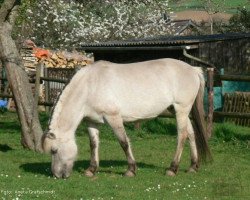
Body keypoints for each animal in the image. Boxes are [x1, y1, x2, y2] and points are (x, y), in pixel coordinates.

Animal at [42, 57, 211, 178]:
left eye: (54, 150)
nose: (57, 175)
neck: (90, 86)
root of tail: (193, 69)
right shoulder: (92, 121)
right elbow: (93, 144)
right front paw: (91, 169)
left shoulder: (113, 117)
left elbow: (123, 142)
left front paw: (130, 170)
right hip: (180, 111)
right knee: (191, 134)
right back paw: (193, 166)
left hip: (181, 109)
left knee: (182, 136)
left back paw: (172, 168)